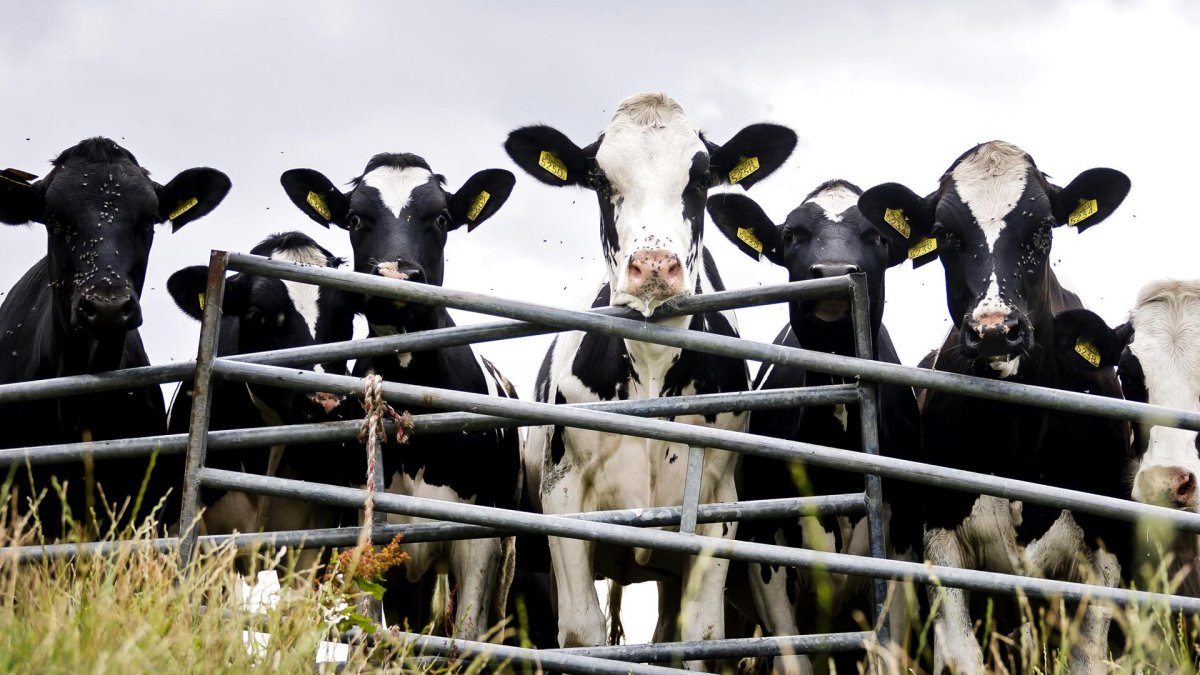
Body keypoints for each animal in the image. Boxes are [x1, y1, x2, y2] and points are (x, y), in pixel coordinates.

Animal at [279, 152, 521, 642]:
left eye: (442, 219)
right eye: (354, 219)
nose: (394, 274)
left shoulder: (479, 538)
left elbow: (468, 635)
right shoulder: (369, 533)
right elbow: (370, 635)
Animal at [503, 92, 797, 663]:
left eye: (701, 179)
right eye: (599, 179)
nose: (656, 266)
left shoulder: (716, 504)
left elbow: (700, 634)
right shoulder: (562, 495)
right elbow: (581, 634)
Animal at [858, 141, 1132, 673]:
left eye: (1043, 229)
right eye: (946, 235)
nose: (993, 330)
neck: (1020, 430)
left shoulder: (1103, 553)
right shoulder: (940, 539)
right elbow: (961, 652)